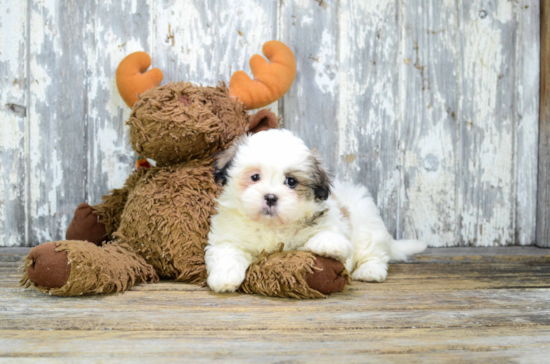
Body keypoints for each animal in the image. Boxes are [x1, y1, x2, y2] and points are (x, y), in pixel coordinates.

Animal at [205, 129, 430, 292]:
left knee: (374, 253)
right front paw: (224, 278)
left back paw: (370, 271)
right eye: (254, 177)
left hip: (368, 224)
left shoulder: (332, 221)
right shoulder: (228, 237)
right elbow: (227, 253)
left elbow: (330, 234)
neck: (272, 226)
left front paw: (329, 244)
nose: (270, 197)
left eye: (291, 182)